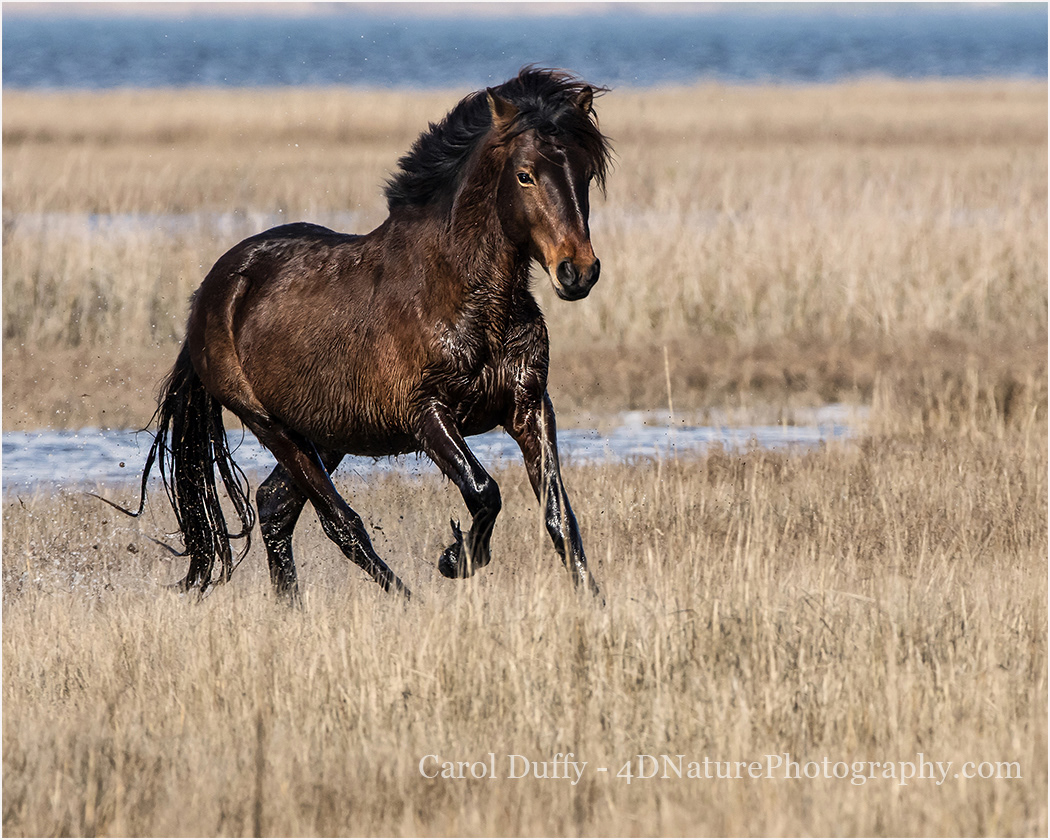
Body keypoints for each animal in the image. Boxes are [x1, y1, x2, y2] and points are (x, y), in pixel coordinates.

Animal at [109, 67, 612, 604]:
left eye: (585, 173)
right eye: (524, 174)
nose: (578, 272)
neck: (466, 297)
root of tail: (210, 293)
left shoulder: (530, 405)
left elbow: (559, 517)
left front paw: (594, 602)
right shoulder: (427, 413)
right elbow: (484, 492)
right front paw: (455, 559)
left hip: (326, 431)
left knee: (274, 507)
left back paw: (293, 608)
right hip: (272, 425)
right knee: (339, 522)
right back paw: (407, 601)